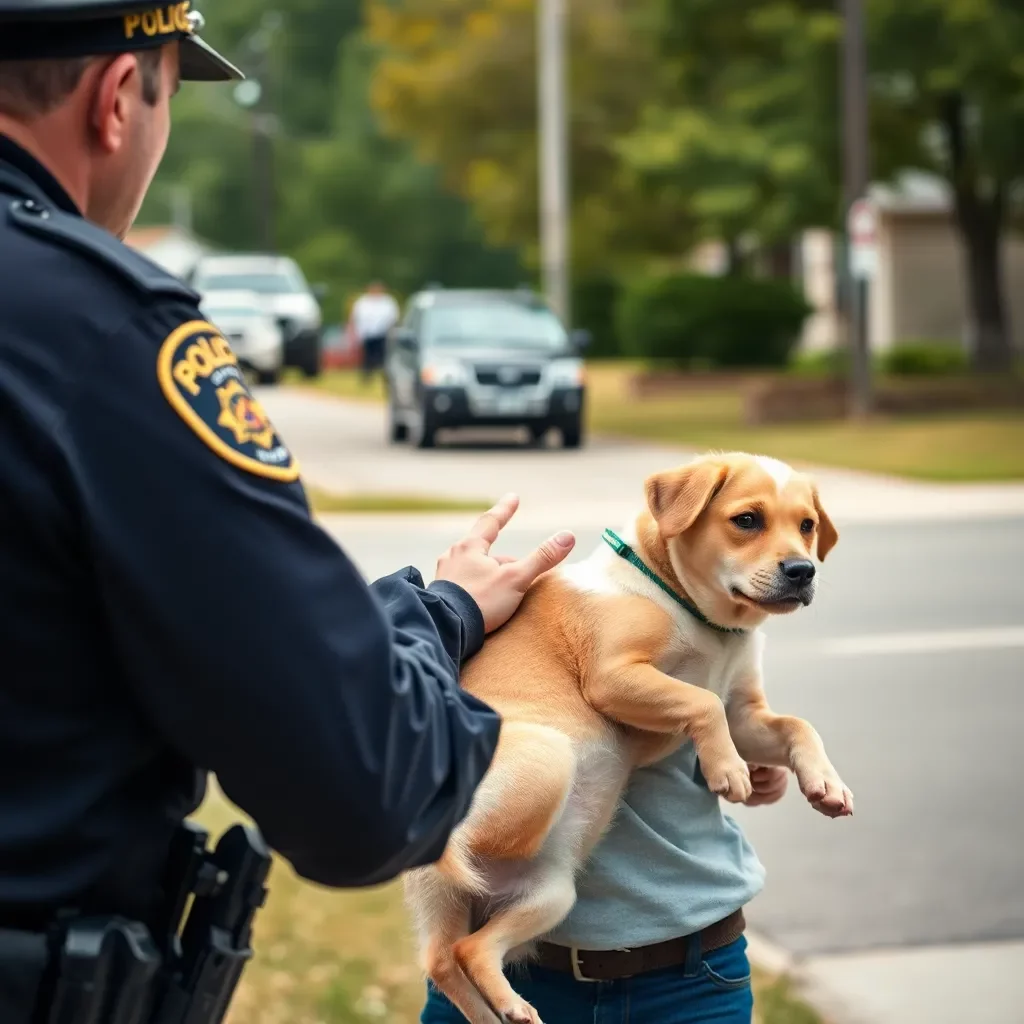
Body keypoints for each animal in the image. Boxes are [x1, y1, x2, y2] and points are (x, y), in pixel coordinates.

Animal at [403, 454, 851, 1024]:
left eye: (807, 526)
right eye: (747, 520)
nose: (802, 571)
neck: (701, 618)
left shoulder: (745, 716)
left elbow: (795, 725)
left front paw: (825, 784)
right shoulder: (614, 677)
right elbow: (699, 701)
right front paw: (727, 770)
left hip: (548, 896)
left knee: (455, 955)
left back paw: (504, 1009)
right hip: (549, 757)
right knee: (465, 923)